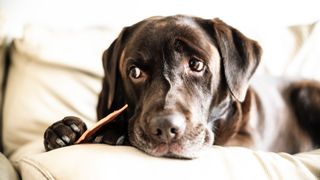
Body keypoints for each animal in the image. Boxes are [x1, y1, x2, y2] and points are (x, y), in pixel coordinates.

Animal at [43, 15, 318, 159]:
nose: (165, 128)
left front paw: (112, 132)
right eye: (135, 72)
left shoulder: (242, 142)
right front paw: (63, 130)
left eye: (196, 64)